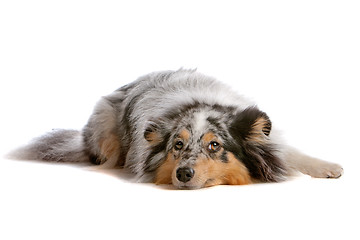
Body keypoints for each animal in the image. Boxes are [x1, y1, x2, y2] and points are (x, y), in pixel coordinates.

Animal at [10, 68, 344, 188]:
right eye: (177, 146)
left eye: (214, 145)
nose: (182, 174)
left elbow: (290, 153)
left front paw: (327, 167)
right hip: (105, 127)